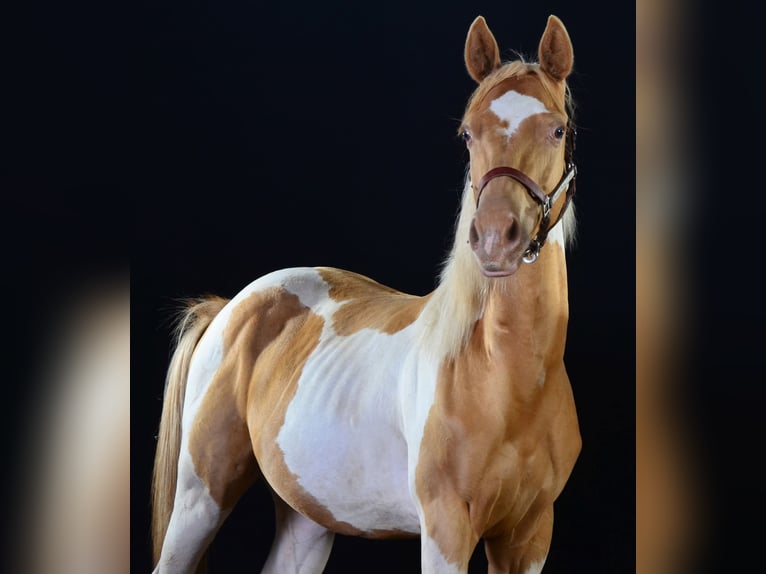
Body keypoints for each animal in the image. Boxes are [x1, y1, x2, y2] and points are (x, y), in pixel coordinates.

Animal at [151, 14, 581, 574]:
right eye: (467, 133)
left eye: (557, 129)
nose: (493, 239)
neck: (507, 380)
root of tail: (230, 308)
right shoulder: (445, 532)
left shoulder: (529, 536)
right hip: (200, 497)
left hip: (308, 519)